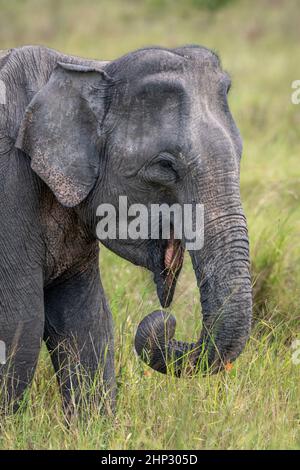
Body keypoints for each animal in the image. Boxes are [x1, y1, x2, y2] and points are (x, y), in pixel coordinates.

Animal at [0, 46, 253, 414]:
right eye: (165, 166)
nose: (167, 322)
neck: (83, 68)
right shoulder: (8, 188)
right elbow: (20, 324)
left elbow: (86, 320)